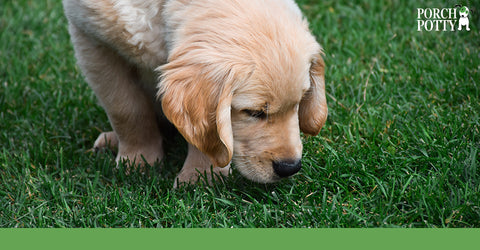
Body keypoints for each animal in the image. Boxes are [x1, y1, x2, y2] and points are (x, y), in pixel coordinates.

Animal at [62, 0, 326, 187]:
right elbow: (126, 110)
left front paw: (199, 179)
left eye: (299, 103)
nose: (290, 168)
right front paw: (137, 160)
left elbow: (207, 134)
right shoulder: (91, 39)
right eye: (254, 112)